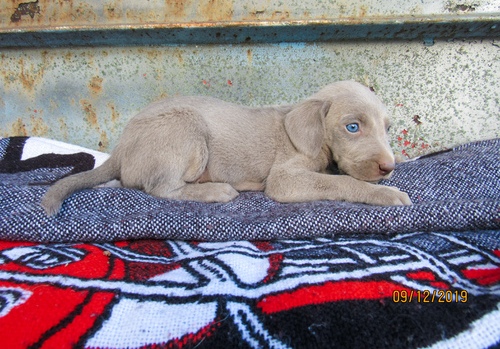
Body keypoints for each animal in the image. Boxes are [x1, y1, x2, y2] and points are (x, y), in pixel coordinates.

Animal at [42, 80, 410, 215]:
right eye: (352, 127)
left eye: (388, 129)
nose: (388, 167)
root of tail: (120, 148)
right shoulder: (285, 179)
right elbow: (341, 181)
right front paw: (386, 193)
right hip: (186, 128)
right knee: (162, 188)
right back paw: (215, 190)